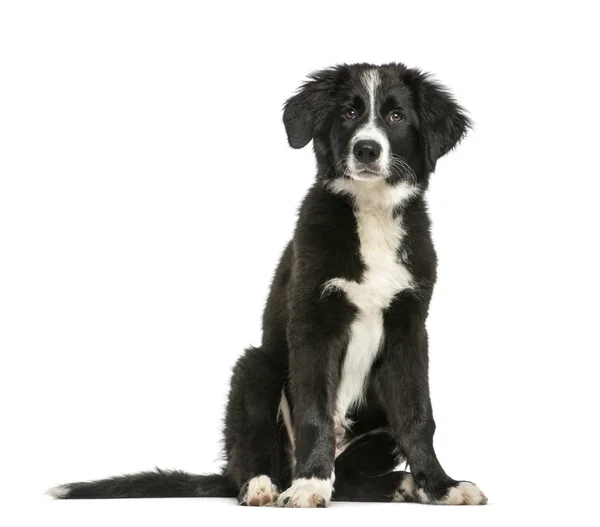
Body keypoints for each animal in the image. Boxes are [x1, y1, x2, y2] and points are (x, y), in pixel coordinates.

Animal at [48, 64, 488, 510]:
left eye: (396, 117)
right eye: (348, 113)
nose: (366, 149)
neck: (371, 213)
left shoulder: (409, 328)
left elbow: (418, 417)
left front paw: (441, 485)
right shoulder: (313, 324)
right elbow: (314, 412)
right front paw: (311, 484)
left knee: (348, 479)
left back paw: (400, 484)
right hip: (255, 369)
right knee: (253, 455)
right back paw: (265, 486)